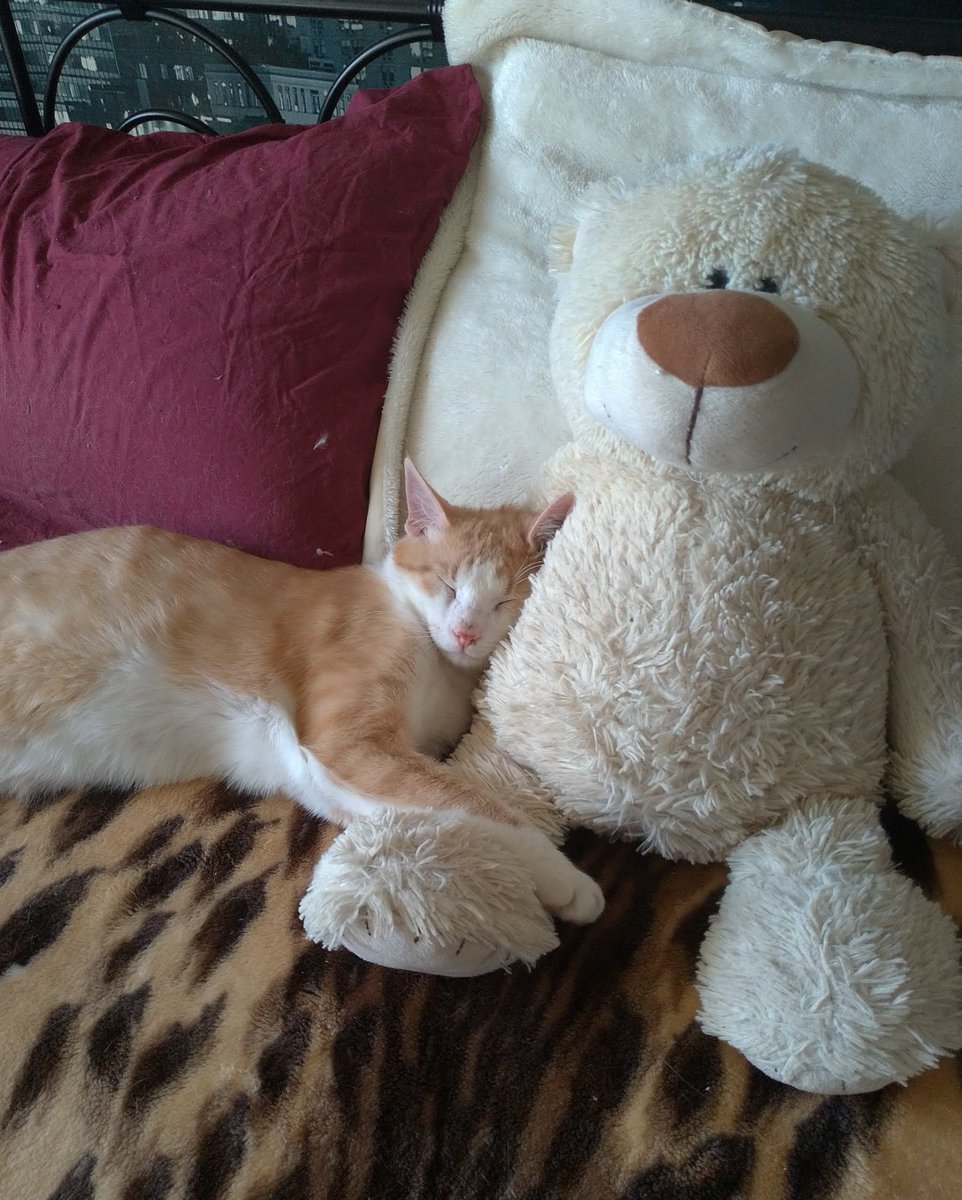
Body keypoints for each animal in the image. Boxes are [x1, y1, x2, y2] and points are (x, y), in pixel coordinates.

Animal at [0, 461, 602, 919]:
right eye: (448, 584)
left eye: (504, 602)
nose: (465, 632)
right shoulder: (349, 742)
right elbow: (479, 803)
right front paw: (567, 879)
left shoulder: (326, 768)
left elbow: (435, 807)